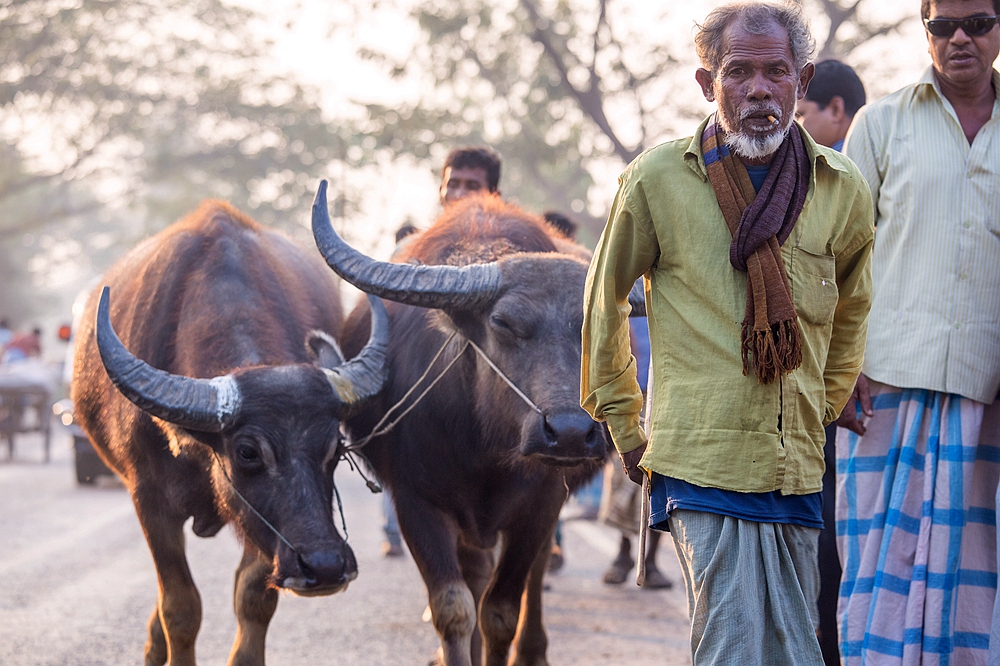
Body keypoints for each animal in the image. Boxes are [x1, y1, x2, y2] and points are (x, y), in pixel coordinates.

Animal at [70, 201, 388, 664]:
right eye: (248, 452)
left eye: (335, 448)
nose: (326, 565)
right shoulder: (149, 500)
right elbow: (179, 606)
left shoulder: (261, 526)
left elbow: (254, 598)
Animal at [312, 182, 608, 664]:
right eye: (503, 323)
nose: (569, 433)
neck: (484, 450)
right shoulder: (417, 502)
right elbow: (453, 608)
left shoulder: (541, 502)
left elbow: (501, 610)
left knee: (536, 572)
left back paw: (533, 650)